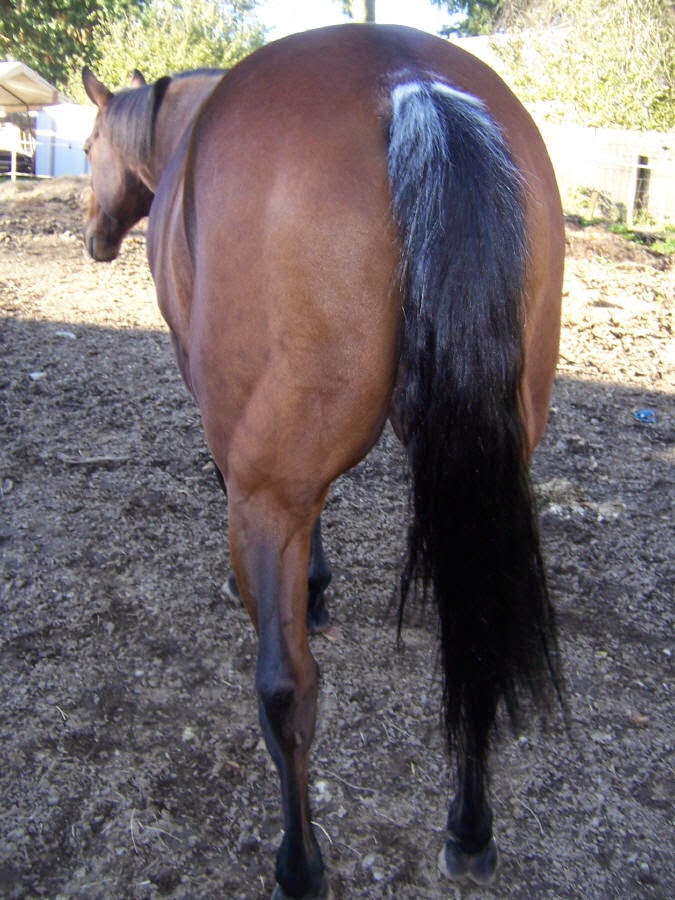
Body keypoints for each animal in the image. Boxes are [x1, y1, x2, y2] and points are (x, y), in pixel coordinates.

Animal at [82, 24, 565, 898]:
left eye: (90, 144)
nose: (96, 237)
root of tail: (409, 81)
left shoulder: (248, 453)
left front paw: (309, 590)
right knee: (472, 636)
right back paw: (469, 830)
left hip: (267, 496)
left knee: (285, 689)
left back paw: (300, 863)